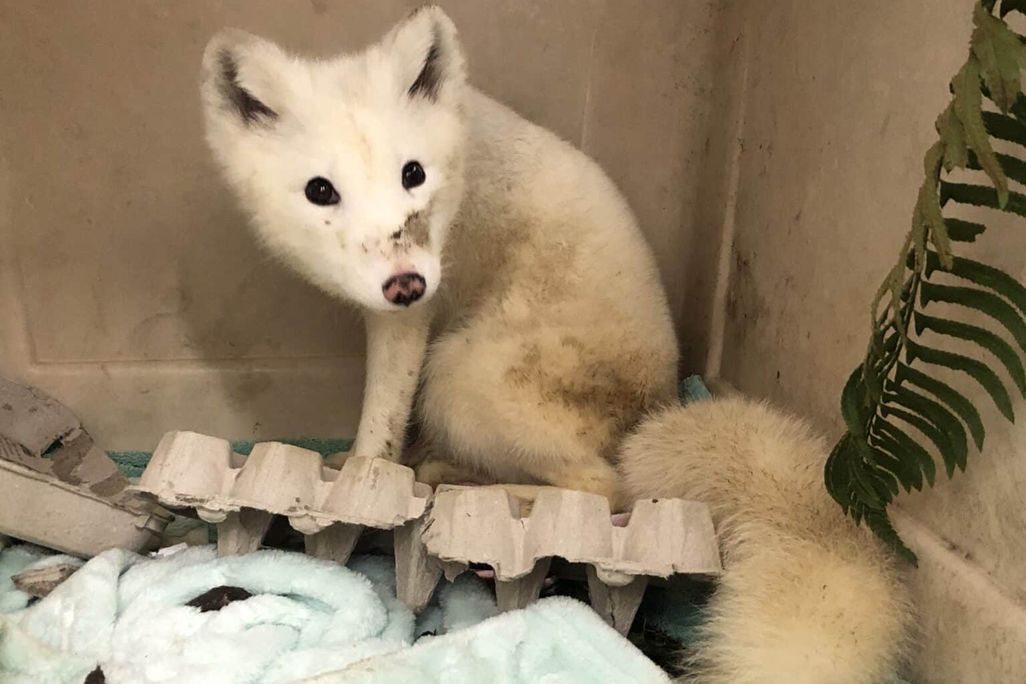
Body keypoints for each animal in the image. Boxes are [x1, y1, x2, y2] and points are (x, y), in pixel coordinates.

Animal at [199, 6, 910, 682]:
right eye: (321, 191)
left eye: (413, 174)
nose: (407, 281)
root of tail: (656, 405)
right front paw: (355, 464)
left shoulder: (412, 324)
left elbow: (381, 413)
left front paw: (362, 476)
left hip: (458, 376)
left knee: (606, 490)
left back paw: (482, 493)